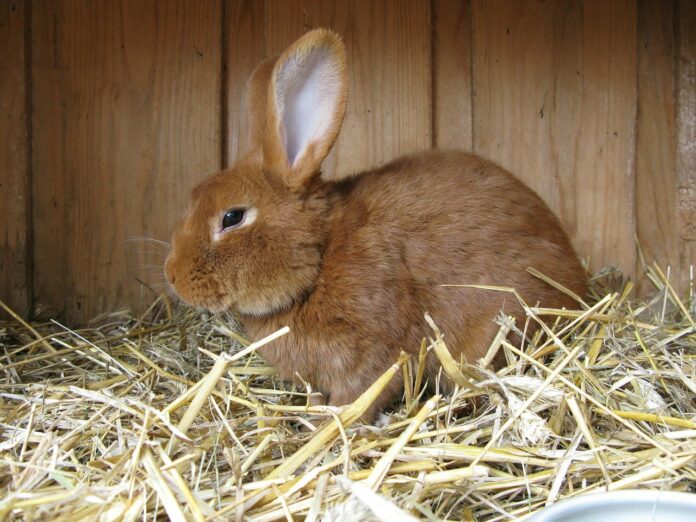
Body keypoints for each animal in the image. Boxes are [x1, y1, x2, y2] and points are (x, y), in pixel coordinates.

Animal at [164, 27, 588, 418]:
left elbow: (362, 393)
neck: (321, 256)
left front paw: (335, 421)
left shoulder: (371, 352)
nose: (172, 275)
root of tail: (579, 286)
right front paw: (313, 412)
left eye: (232, 217)